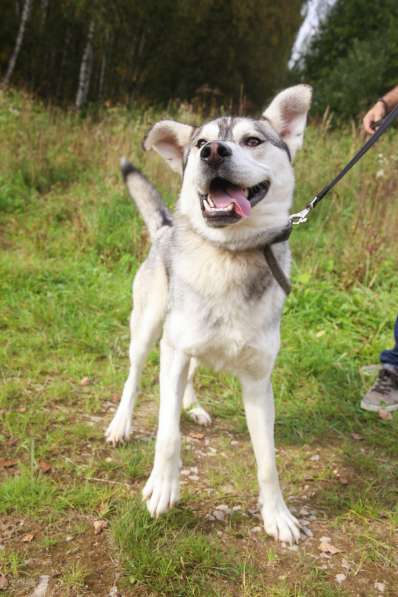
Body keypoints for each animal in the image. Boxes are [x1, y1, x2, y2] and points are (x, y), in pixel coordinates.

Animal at [107, 84, 312, 544]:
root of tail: (166, 226)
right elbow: (167, 435)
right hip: (148, 331)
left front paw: (278, 515)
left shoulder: (258, 382)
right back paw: (121, 424)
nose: (213, 152)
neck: (231, 254)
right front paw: (162, 488)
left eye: (252, 141)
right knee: (133, 377)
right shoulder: (174, 349)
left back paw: (193, 406)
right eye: (201, 142)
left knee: (188, 378)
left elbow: (268, 462)